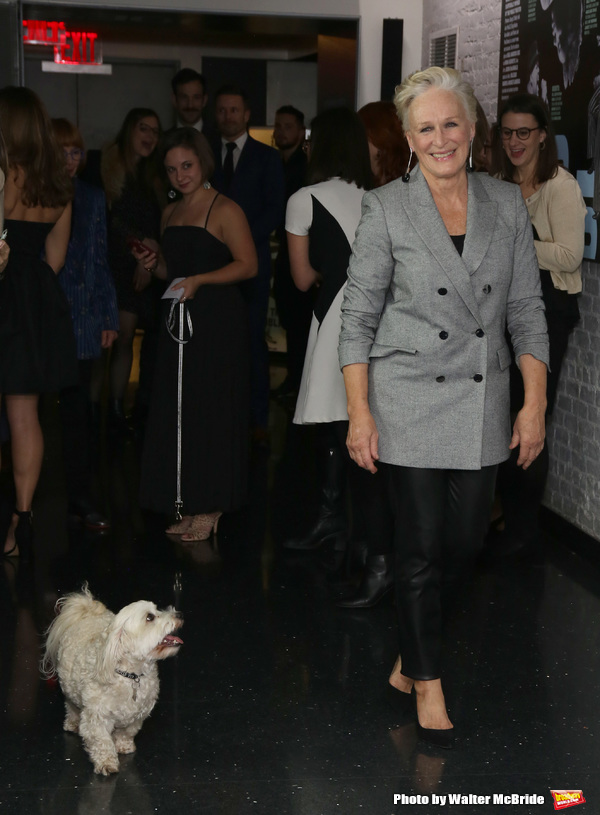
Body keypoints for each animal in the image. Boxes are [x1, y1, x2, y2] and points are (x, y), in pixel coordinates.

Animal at [42, 584, 183, 776]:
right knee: (71, 705)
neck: (131, 675)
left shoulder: (138, 714)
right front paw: (106, 762)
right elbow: (102, 741)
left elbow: (126, 733)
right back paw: (72, 722)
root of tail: (88, 610)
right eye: (150, 617)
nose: (179, 615)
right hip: (68, 687)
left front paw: (124, 746)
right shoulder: (96, 718)